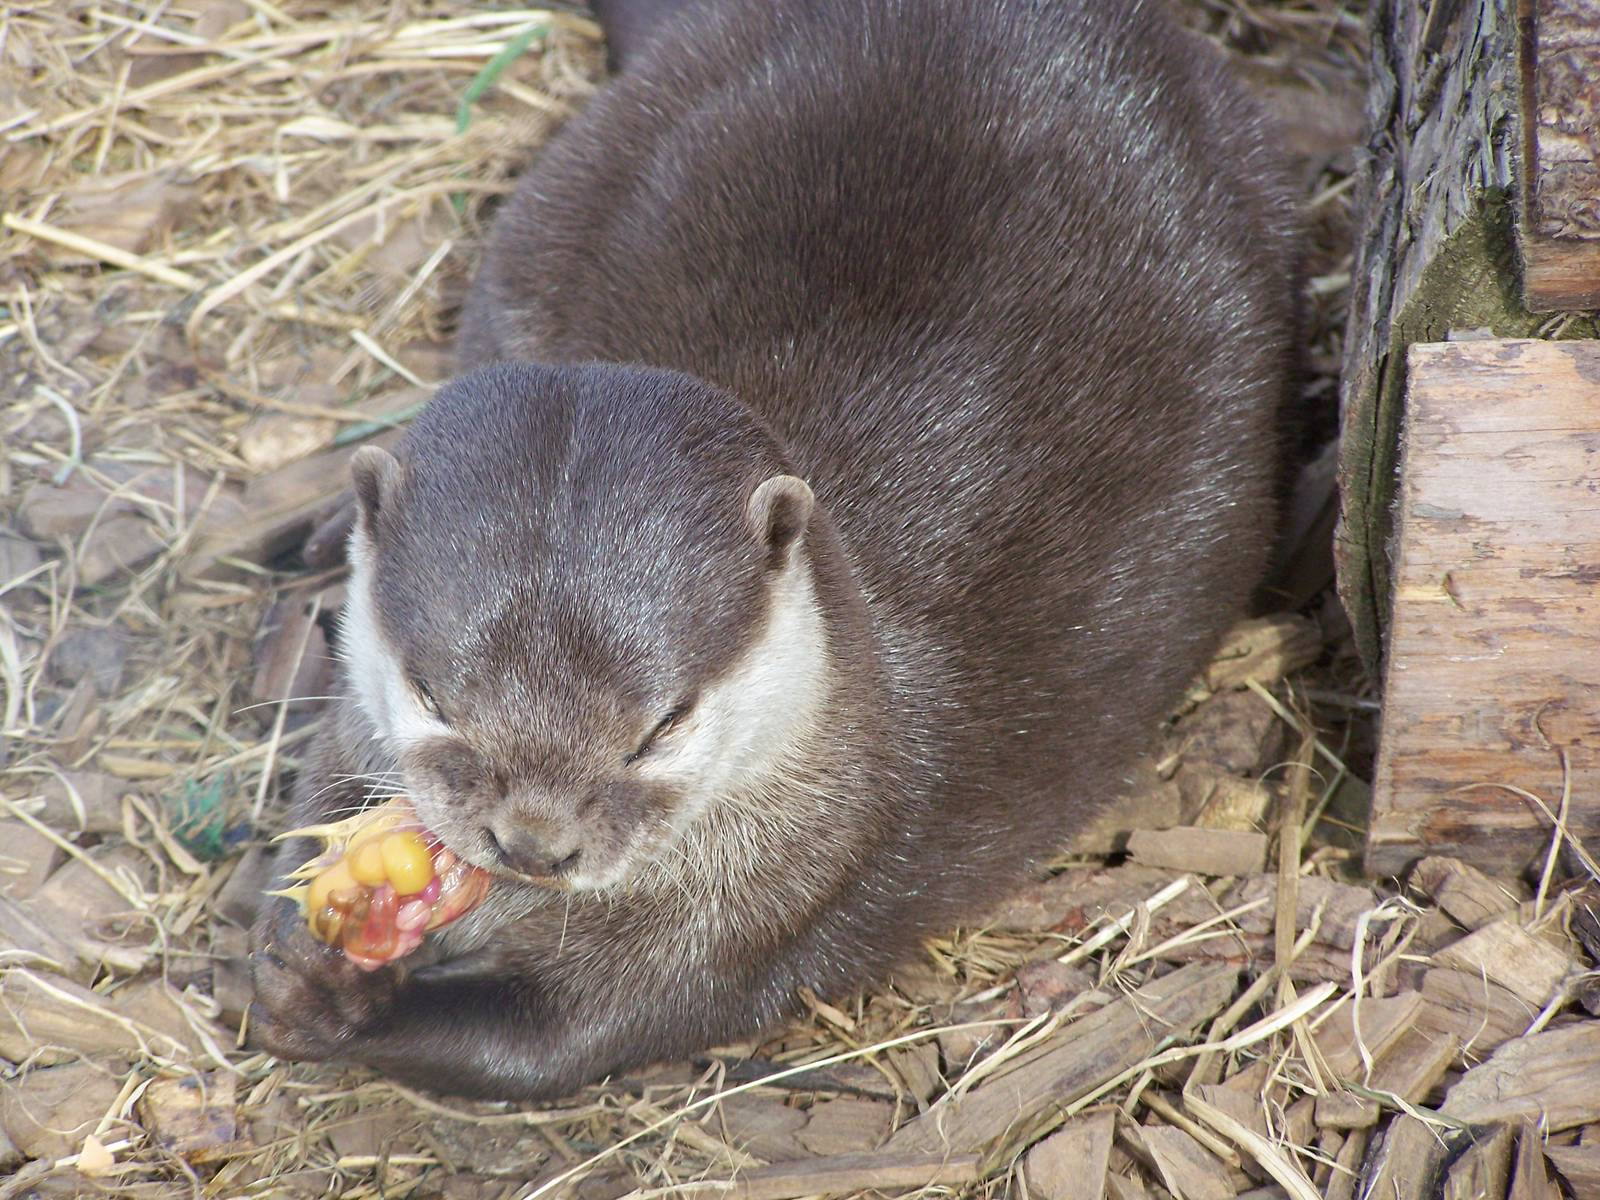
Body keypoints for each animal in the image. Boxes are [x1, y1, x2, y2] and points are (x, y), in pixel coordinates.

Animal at [250, 0, 1300, 1099]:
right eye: (433, 698)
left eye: (661, 726)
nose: (534, 842)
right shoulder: (354, 724)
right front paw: (292, 939)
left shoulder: (762, 908)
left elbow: (548, 1045)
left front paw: (342, 1006)